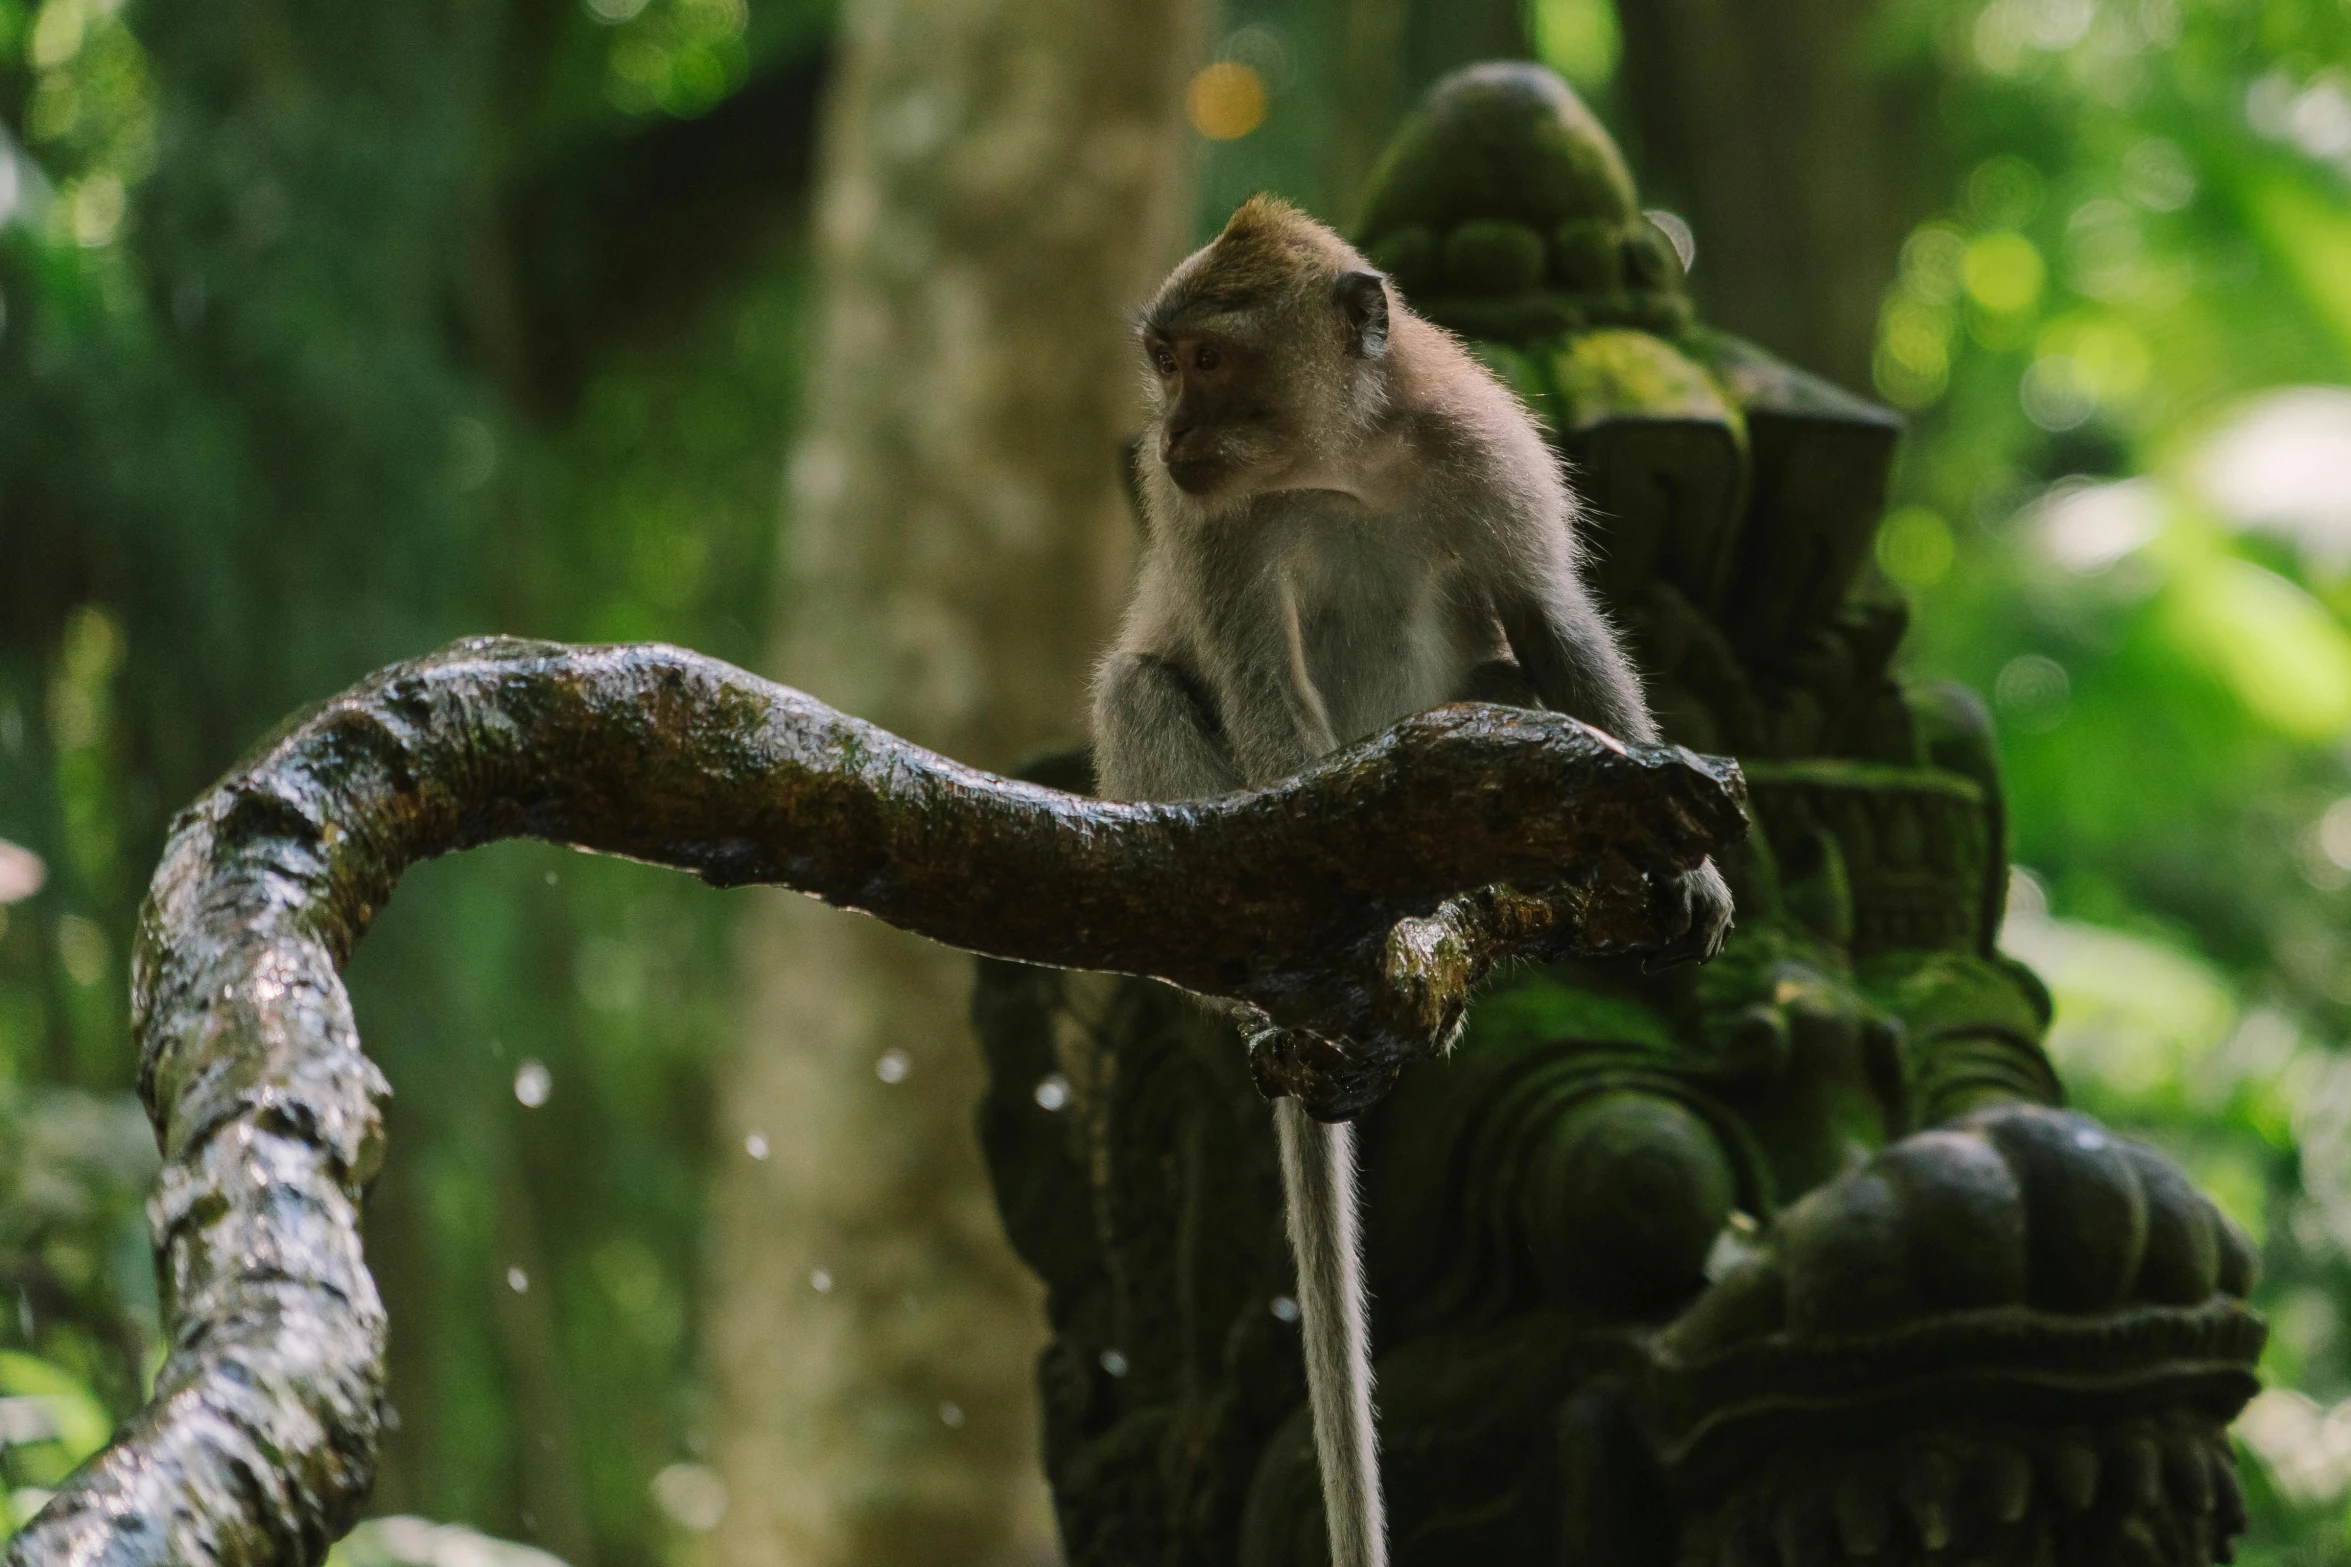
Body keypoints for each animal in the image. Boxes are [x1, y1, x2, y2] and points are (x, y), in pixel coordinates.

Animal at [1090, 196, 1739, 1567]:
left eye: (1207, 359)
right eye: (1163, 362)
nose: (1167, 432)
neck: (1342, 459)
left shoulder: (1485, 453)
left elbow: (1546, 619)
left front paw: (1685, 858)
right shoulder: (1204, 522)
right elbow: (1256, 685)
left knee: (1494, 684)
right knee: (1140, 687)